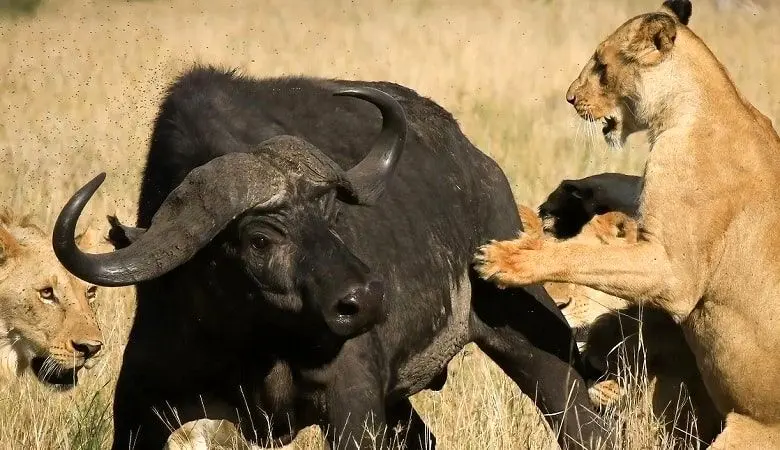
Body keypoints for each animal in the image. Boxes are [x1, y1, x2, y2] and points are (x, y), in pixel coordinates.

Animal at [53, 65, 604, 448]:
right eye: (259, 239)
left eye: (331, 215)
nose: (366, 301)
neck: (254, 344)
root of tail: (479, 165)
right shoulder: (140, 405)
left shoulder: (352, 407)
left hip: (529, 332)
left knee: (582, 419)